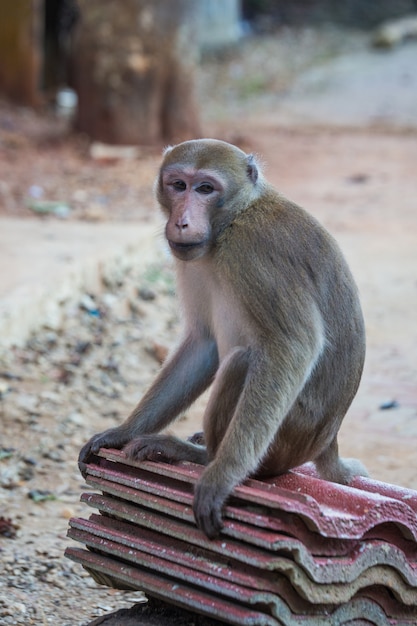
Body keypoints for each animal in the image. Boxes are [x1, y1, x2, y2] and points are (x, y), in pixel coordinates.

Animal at [79, 139, 366, 540]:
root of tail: (328, 440)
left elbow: (291, 346)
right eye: (178, 185)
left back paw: (203, 457)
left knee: (245, 361)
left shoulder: (254, 251)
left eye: (205, 189)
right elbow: (203, 345)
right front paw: (121, 432)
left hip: (288, 436)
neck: (231, 221)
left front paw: (223, 474)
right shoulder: (192, 261)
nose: (182, 220)